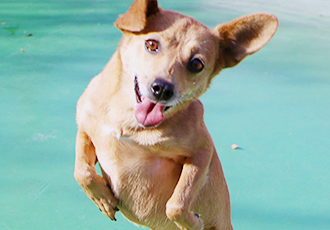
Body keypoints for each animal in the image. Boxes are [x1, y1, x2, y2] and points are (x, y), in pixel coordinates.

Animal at [75, 0, 278, 228]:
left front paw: (193, 223)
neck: (128, 122)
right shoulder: (85, 128)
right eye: (151, 44)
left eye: (196, 64)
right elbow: (82, 171)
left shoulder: (201, 153)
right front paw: (102, 198)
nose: (163, 89)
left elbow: (176, 204)